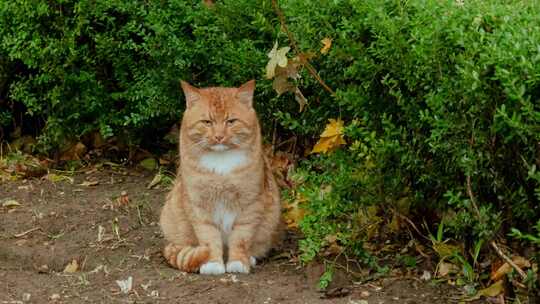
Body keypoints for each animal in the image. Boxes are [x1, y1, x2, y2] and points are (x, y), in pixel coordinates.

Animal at [160, 79, 282, 274]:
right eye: (207, 122)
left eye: (231, 121)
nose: (219, 136)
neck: (221, 165)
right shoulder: (199, 206)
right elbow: (209, 237)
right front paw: (212, 263)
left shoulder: (250, 204)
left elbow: (240, 238)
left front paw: (238, 262)